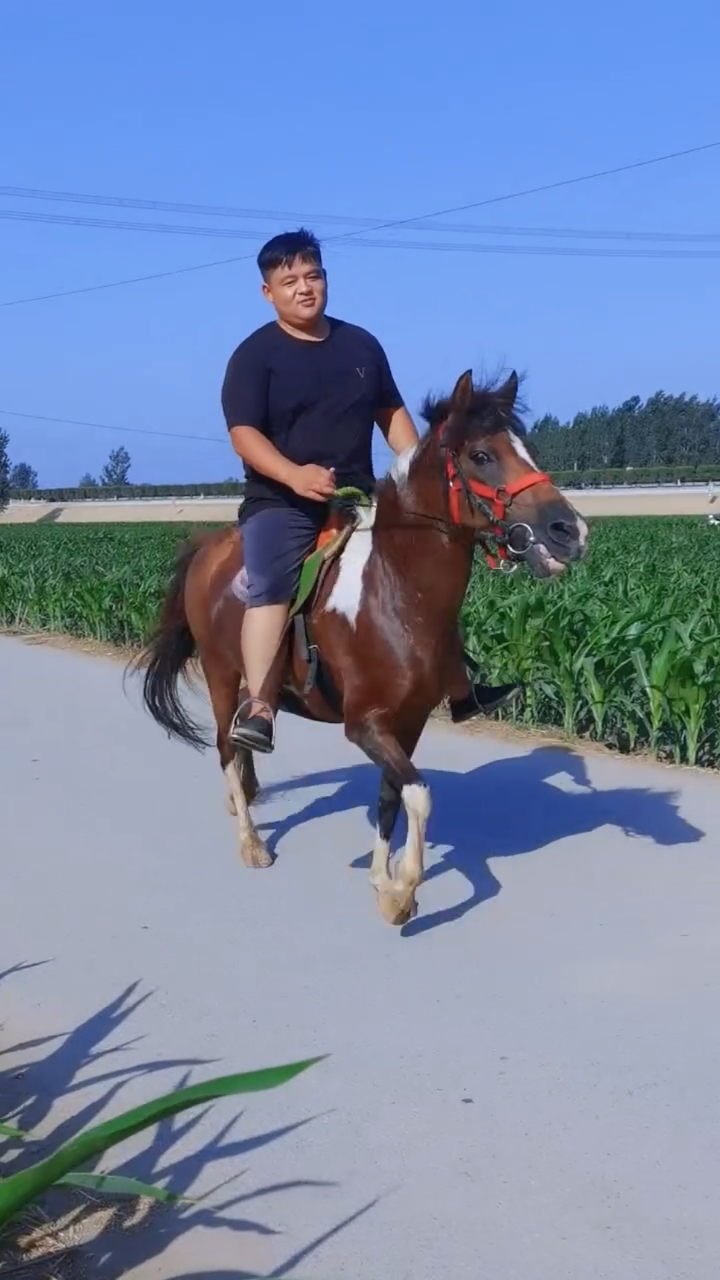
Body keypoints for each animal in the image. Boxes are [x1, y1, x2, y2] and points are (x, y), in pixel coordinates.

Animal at [135, 369, 589, 926]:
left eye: (528, 449)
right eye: (482, 454)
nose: (569, 531)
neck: (396, 591)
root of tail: (208, 546)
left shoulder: (408, 722)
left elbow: (390, 797)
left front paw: (383, 881)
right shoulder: (365, 724)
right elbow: (419, 795)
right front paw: (401, 892)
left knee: (242, 742)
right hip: (221, 672)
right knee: (225, 745)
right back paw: (251, 841)